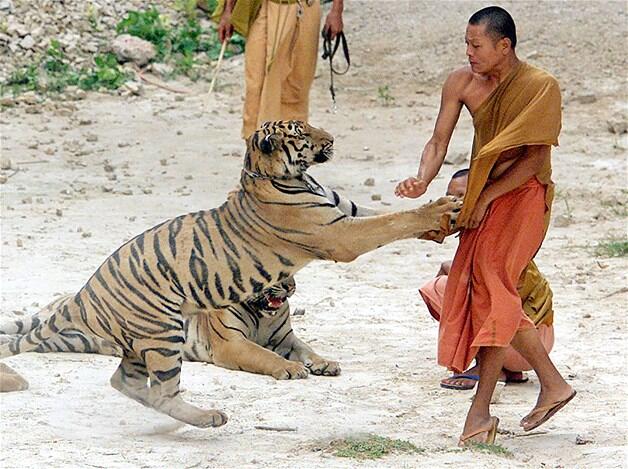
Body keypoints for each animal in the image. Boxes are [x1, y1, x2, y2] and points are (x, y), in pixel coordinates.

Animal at [1, 120, 462, 428]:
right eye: (301, 132)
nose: (331, 140)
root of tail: (87, 291)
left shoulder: (344, 213)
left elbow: (384, 215)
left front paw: (443, 218)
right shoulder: (338, 235)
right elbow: (391, 222)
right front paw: (439, 209)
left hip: (135, 343)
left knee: (124, 383)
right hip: (163, 335)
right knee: (160, 390)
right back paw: (208, 417)